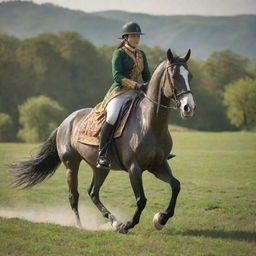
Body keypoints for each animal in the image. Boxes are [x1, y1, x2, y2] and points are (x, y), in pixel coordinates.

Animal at [9, 49, 194, 233]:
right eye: (174, 76)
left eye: (190, 76)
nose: (189, 108)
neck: (149, 123)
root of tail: (64, 123)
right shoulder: (134, 168)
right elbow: (141, 199)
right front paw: (129, 224)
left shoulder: (158, 165)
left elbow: (176, 185)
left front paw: (161, 218)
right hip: (71, 165)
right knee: (73, 196)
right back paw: (82, 225)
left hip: (100, 167)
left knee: (93, 192)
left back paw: (114, 221)